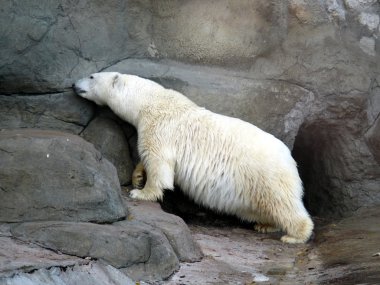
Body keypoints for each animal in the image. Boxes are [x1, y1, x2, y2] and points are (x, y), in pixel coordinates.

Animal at [72, 71, 314, 242]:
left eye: (92, 76)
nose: (74, 84)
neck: (150, 101)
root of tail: (290, 157)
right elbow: (147, 158)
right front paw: (138, 176)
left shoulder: (160, 129)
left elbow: (159, 163)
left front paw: (141, 193)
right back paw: (265, 225)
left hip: (265, 174)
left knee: (283, 203)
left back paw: (294, 235)